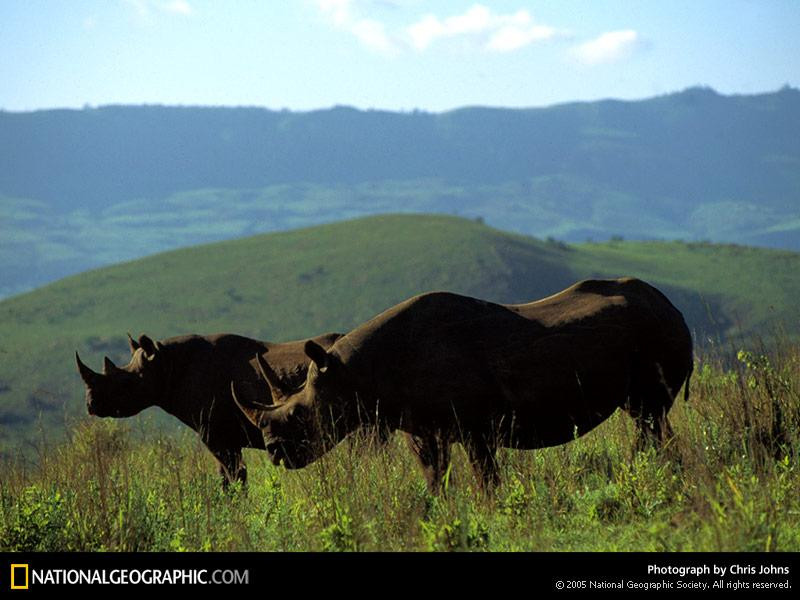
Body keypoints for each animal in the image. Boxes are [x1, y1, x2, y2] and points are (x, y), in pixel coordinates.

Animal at [76, 330, 346, 490]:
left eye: (125, 384)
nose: (90, 405)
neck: (166, 365)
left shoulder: (218, 436)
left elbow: (235, 478)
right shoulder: (221, 437)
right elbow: (224, 478)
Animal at [233, 276, 692, 492]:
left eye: (303, 414)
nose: (274, 453)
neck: (352, 373)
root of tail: (673, 306)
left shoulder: (476, 428)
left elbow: (486, 478)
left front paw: (493, 512)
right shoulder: (421, 429)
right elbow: (434, 477)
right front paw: (438, 513)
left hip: (655, 334)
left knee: (648, 416)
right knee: (648, 417)